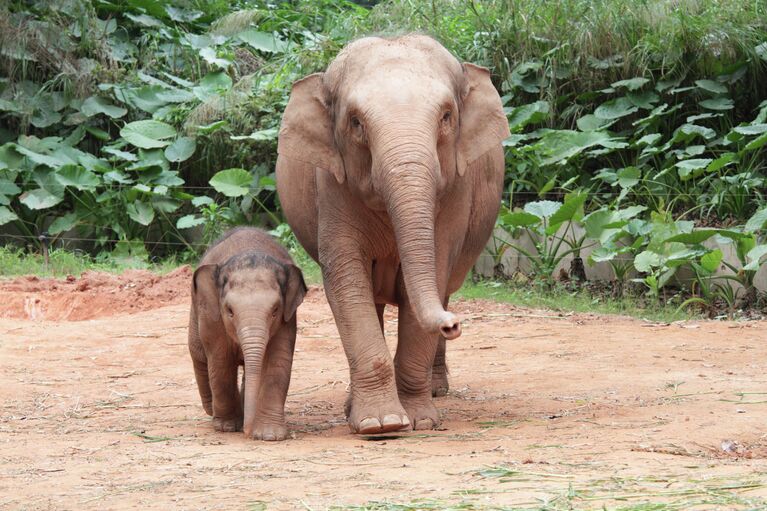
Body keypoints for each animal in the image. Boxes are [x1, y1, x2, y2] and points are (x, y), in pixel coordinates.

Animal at [187, 228, 306, 440]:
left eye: (275, 310)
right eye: (229, 311)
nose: (247, 432)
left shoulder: (288, 320)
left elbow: (279, 360)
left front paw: (269, 435)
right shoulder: (212, 319)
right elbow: (221, 361)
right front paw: (227, 426)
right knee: (198, 355)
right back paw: (212, 409)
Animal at [276, 34, 510, 434]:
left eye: (446, 117)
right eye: (356, 123)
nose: (454, 325)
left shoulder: (455, 189)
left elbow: (434, 269)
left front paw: (420, 421)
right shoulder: (332, 186)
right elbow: (347, 283)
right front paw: (379, 423)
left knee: (441, 289)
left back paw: (436, 390)